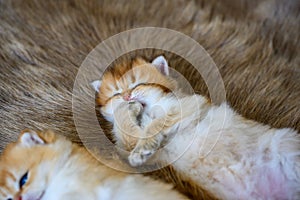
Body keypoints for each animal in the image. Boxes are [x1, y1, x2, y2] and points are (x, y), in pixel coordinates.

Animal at [92, 55, 300, 199]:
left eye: (140, 83)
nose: (127, 97)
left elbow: (157, 124)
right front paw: (127, 112)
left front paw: (142, 144)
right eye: (116, 94)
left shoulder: (192, 104)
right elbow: (127, 136)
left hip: (287, 146)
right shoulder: (136, 151)